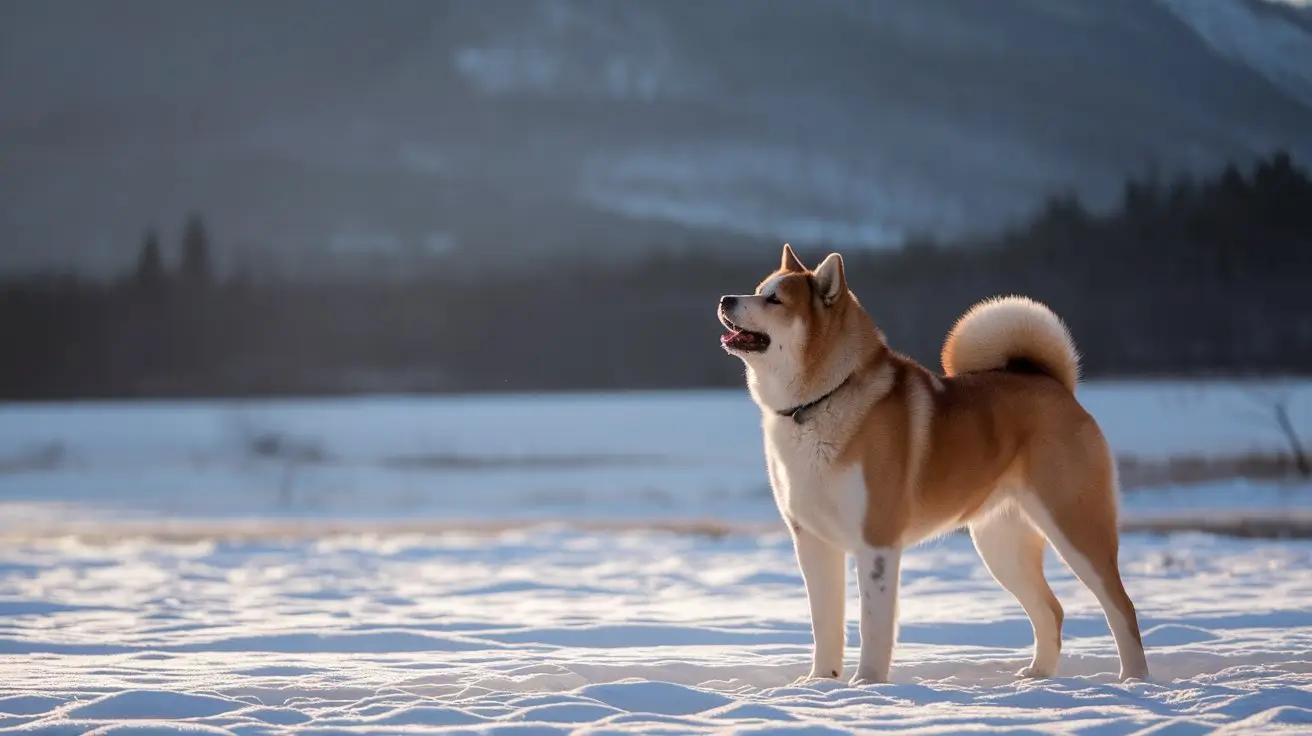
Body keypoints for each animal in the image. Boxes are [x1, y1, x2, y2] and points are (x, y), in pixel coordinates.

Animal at [718, 242, 1149, 682]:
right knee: (1052, 611)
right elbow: (825, 624)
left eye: (774, 300)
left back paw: (1133, 679)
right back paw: (1037, 676)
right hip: (1001, 544)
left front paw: (866, 684)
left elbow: (873, 625)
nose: (725, 299)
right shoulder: (813, 542)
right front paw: (821, 684)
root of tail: (1055, 385)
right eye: (759, 289)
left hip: (1075, 527)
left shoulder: (876, 542)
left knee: (1122, 607)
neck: (821, 400)